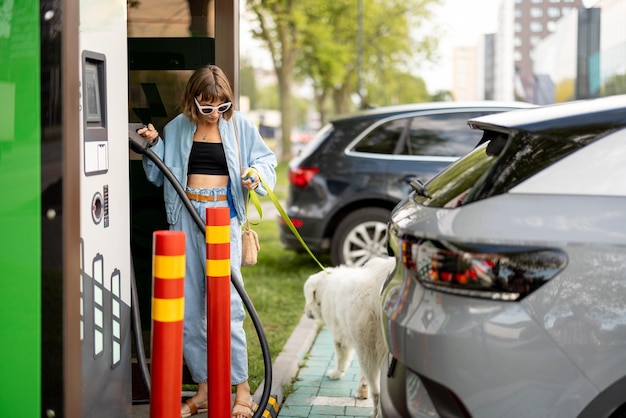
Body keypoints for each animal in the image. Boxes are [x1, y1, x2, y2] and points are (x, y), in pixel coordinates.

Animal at [302, 256, 394, 416]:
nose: (306, 313)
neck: (326, 286)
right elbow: (361, 375)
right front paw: (361, 391)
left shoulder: (342, 338)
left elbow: (341, 360)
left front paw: (335, 374)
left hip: (370, 348)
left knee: (377, 392)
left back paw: (375, 413)